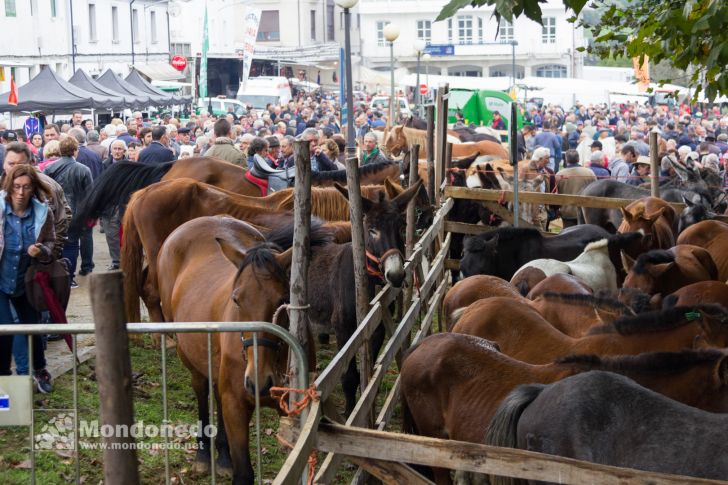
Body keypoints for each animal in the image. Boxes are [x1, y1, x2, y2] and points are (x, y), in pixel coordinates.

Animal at [155, 216, 318, 484]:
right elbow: (243, 473)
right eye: (236, 300)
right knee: (202, 390)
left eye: (283, 299)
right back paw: (203, 454)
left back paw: (222, 456)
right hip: (187, 355)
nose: (258, 382)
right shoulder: (236, 405)